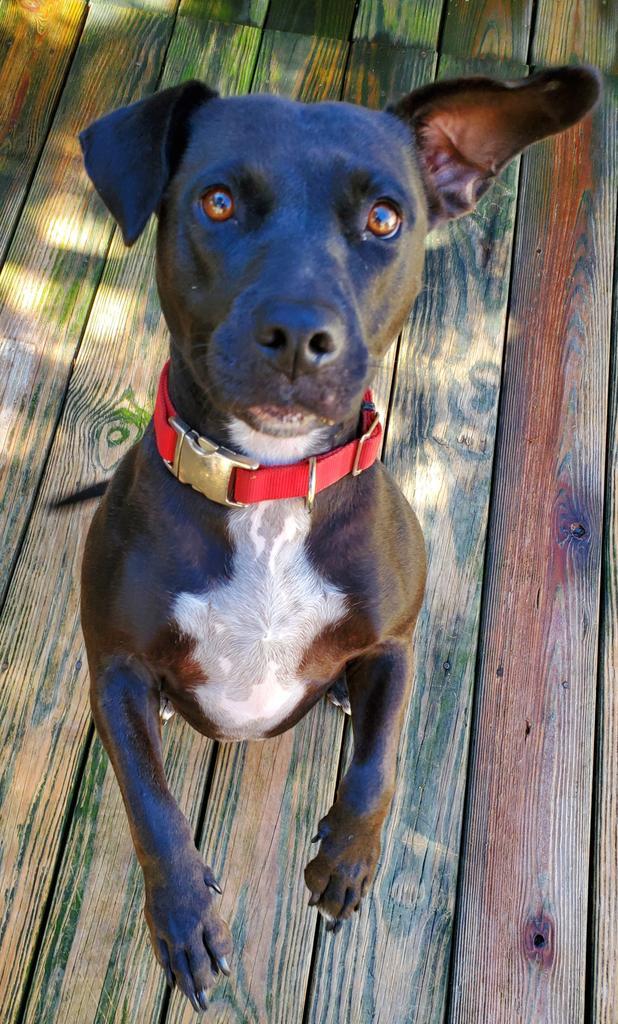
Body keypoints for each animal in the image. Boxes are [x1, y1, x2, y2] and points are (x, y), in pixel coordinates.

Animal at [77, 66, 597, 1015]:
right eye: (216, 202)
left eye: (386, 218)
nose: (296, 334)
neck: (270, 492)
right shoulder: (119, 670)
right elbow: (153, 810)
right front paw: (185, 918)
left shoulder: (391, 641)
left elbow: (377, 770)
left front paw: (346, 863)